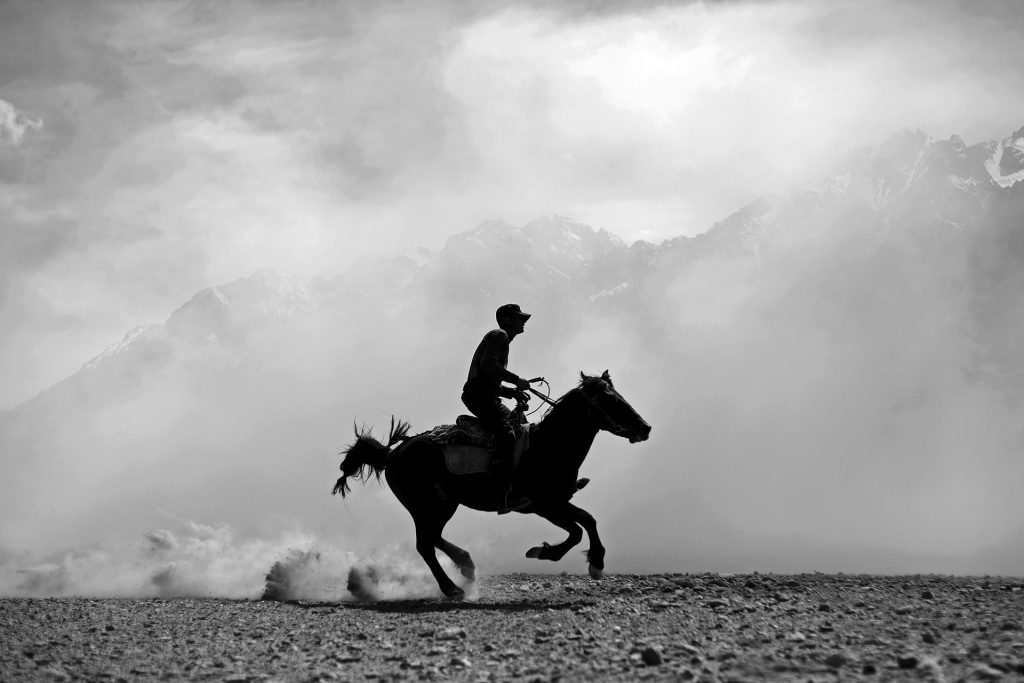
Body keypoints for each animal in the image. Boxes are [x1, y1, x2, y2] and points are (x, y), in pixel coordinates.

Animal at [331, 370, 651, 602]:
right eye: (610, 399)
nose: (645, 428)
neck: (547, 447)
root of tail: (392, 453)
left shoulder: (556, 502)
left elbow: (587, 521)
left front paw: (588, 560)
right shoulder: (544, 505)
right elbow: (577, 529)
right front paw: (555, 554)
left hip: (444, 504)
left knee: (434, 538)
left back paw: (466, 566)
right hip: (422, 505)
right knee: (425, 545)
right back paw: (453, 589)